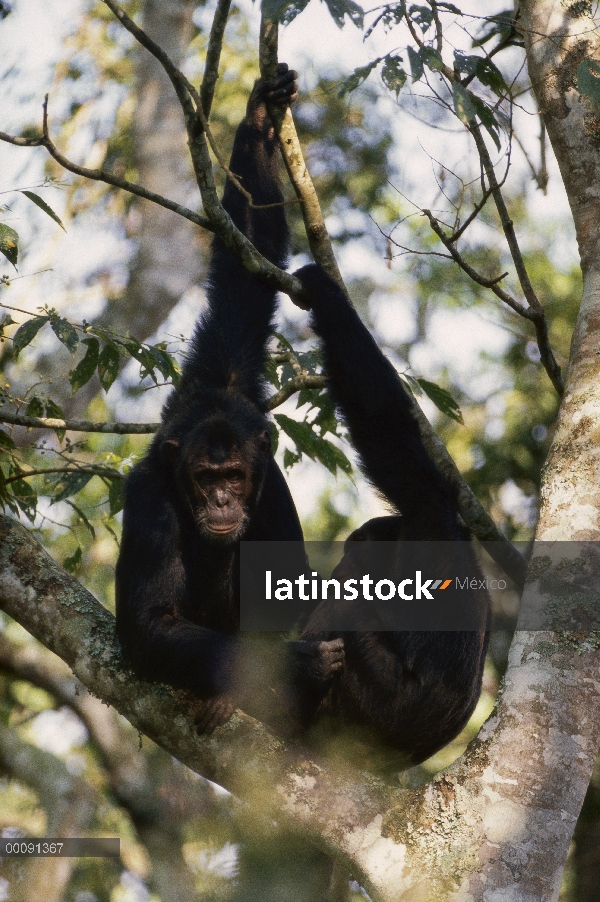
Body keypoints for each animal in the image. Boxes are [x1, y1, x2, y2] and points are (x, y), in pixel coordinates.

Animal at [115, 65, 344, 736]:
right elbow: (152, 621)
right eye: (204, 477)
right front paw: (293, 667)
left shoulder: (265, 473)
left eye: (235, 477)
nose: (220, 501)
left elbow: (249, 257)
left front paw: (262, 120)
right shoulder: (149, 500)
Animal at [290, 264, 492, 768]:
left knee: (348, 604)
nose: (355, 540)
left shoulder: (427, 514)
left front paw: (322, 289)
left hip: (372, 702)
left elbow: (385, 425)